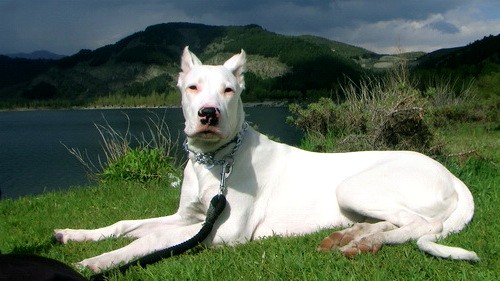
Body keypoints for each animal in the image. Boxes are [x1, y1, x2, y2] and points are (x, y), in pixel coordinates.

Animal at [53, 46, 476, 272]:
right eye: (192, 87)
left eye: (229, 89)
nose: (208, 114)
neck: (215, 161)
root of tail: (452, 177)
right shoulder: (188, 217)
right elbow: (127, 224)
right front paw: (77, 235)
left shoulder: (223, 231)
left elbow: (152, 237)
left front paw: (97, 261)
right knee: (400, 222)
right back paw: (354, 236)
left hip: (355, 186)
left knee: (424, 225)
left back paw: (365, 242)